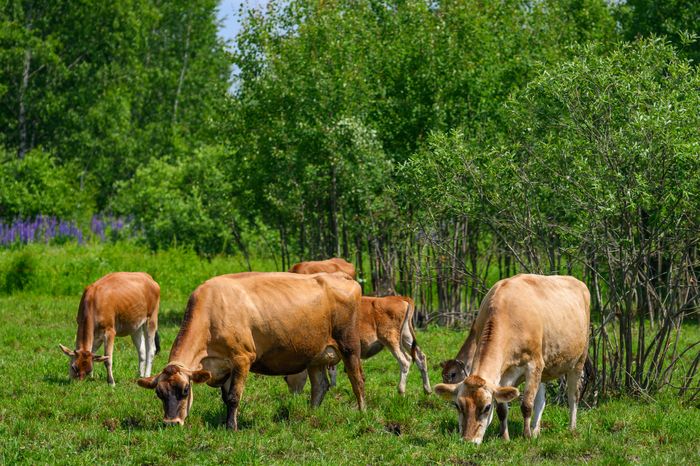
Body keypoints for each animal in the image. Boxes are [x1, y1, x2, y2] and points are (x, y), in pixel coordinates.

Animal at [136, 271, 365, 430]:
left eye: (185, 390)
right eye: (159, 393)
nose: (171, 423)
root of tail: (341, 276)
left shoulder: (242, 358)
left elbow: (233, 397)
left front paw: (231, 428)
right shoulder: (224, 366)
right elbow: (225, 397)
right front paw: (226, 422)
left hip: (349, 345)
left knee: (357, 379)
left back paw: (362, 412)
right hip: (315, 354)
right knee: (320, 385)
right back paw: (311, 415)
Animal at [285, 295, 432, 395]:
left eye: (286, 378)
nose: (293, 395)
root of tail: (400, 298)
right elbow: (333, 368)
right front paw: (333, 387)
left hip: (391, 339)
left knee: (405, 360)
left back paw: (401, 391)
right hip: (406, 337)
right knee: (420, 357)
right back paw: (427, 390)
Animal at [434, 274, 590, 444]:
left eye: (487, 407)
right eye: (458, 406)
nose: (469, 441)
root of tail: (576, 281)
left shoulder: (534, 364)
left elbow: (526, 405)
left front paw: (526, 436)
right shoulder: (503, 375)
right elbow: (502, 409)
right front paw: (505, 438)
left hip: (579, 359)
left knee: (573, 394)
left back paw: (571, 428)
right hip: (545, 368)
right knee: (541, 401)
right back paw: (536, 431)